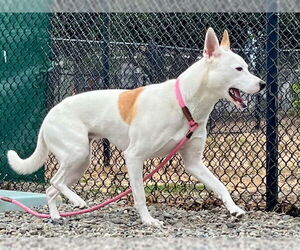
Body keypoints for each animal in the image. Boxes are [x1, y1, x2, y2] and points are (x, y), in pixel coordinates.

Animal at [7, 27, 264, 227]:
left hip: (80, 163)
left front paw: (234, 209)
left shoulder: (194, 164)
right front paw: (148, 220)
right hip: (76, 154)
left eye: (247, 66)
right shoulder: (134, 157)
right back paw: (77, 201)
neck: (184, 103)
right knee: (54, 181)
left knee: (51, 189)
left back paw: (56, 216)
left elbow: (221, 186)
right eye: (239, 69)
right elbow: (139, 195)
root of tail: (49, 115)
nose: (262, 84)